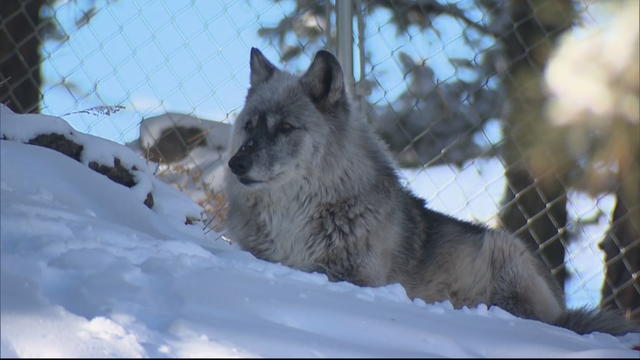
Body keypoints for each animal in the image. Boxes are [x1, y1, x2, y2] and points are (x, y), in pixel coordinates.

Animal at [222, 47, 636, 334]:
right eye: (250, 126)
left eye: (285, 128)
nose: (235, 164)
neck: (293, 216)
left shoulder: (352, 275)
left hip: (503, 251)